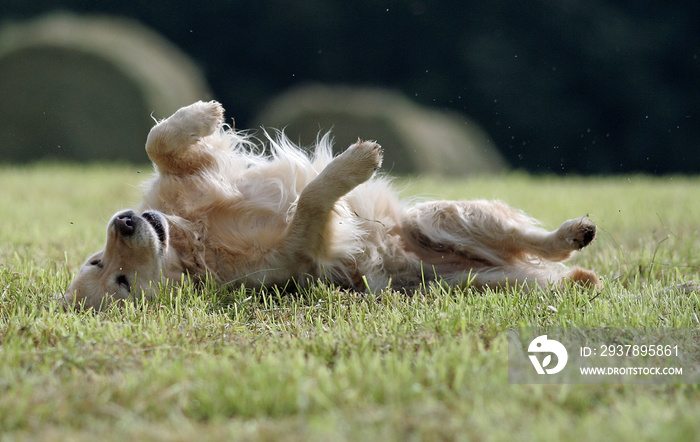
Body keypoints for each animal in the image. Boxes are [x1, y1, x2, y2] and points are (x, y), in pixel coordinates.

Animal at [64, 100, 596, 310]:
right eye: (121, 282)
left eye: (97, 261)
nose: (124, 221)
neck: (192, 238)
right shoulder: (303, 251)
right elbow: (311, 199)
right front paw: (354, 165)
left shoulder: (189, 178)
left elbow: (158, 142)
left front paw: (202, 114)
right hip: (470, 273)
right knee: (549, 260)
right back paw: (577, 254)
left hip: (438, 218)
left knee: (533, 241)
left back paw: (575, 232)